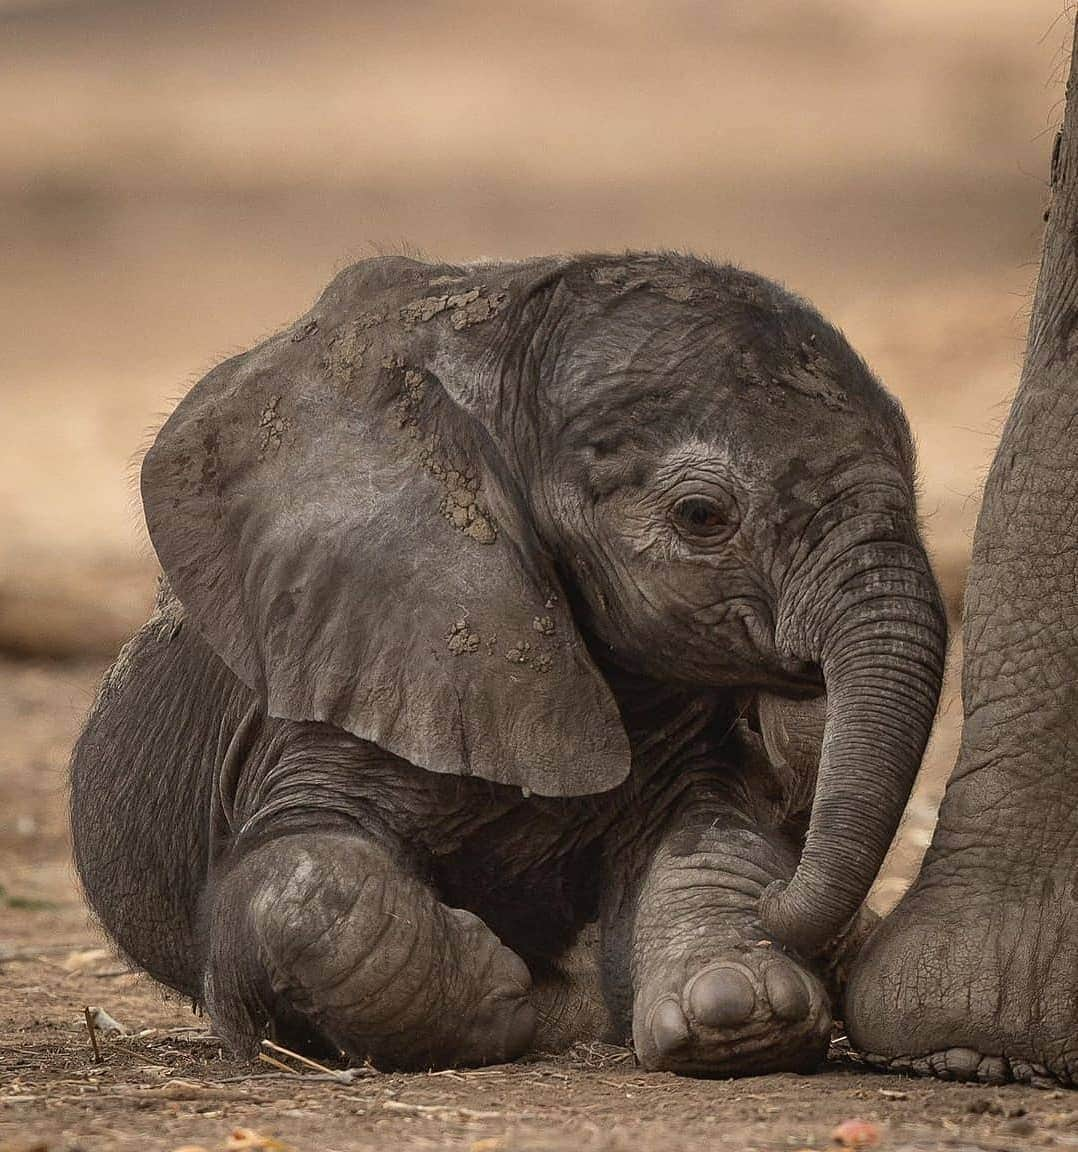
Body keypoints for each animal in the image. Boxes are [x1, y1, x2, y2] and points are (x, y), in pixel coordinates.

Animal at [71, 252, 944, 1078]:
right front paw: (505, 987)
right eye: (702, 517)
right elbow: (297, 880)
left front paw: (740, 1006)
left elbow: (714, 830)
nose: (787, 906)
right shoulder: (345, 650)